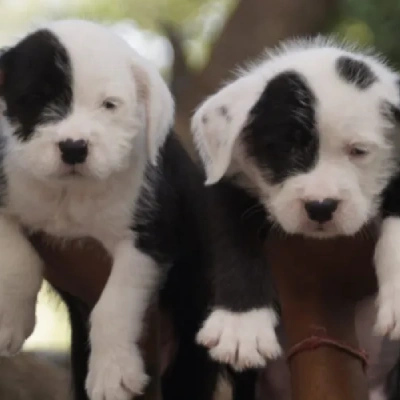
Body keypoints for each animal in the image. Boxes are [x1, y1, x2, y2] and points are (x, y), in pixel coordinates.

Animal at [193, 37, 400, 376]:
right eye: (285, 149)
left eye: (358, 151)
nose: (321, 206)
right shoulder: (228, 183)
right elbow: (233, 238)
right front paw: (242, 325)